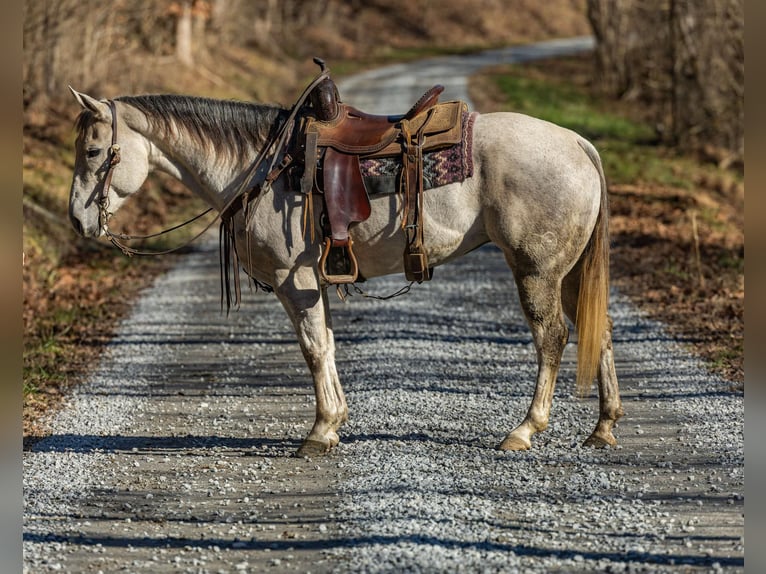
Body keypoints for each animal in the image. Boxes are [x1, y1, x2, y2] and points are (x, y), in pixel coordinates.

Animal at [69, 89, 628, 460]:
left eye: (93, 151)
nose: (77, 221)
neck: (260, 167)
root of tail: (577, 144)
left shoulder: (295, 283)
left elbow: (314, 350)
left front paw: (319, 432)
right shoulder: (317, 284)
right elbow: (330, 347)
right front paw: (335, 423)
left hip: (536, 270)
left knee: (552, 338)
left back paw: (525, 430)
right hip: (570, 272)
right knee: (597, 330)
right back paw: (602, 428)